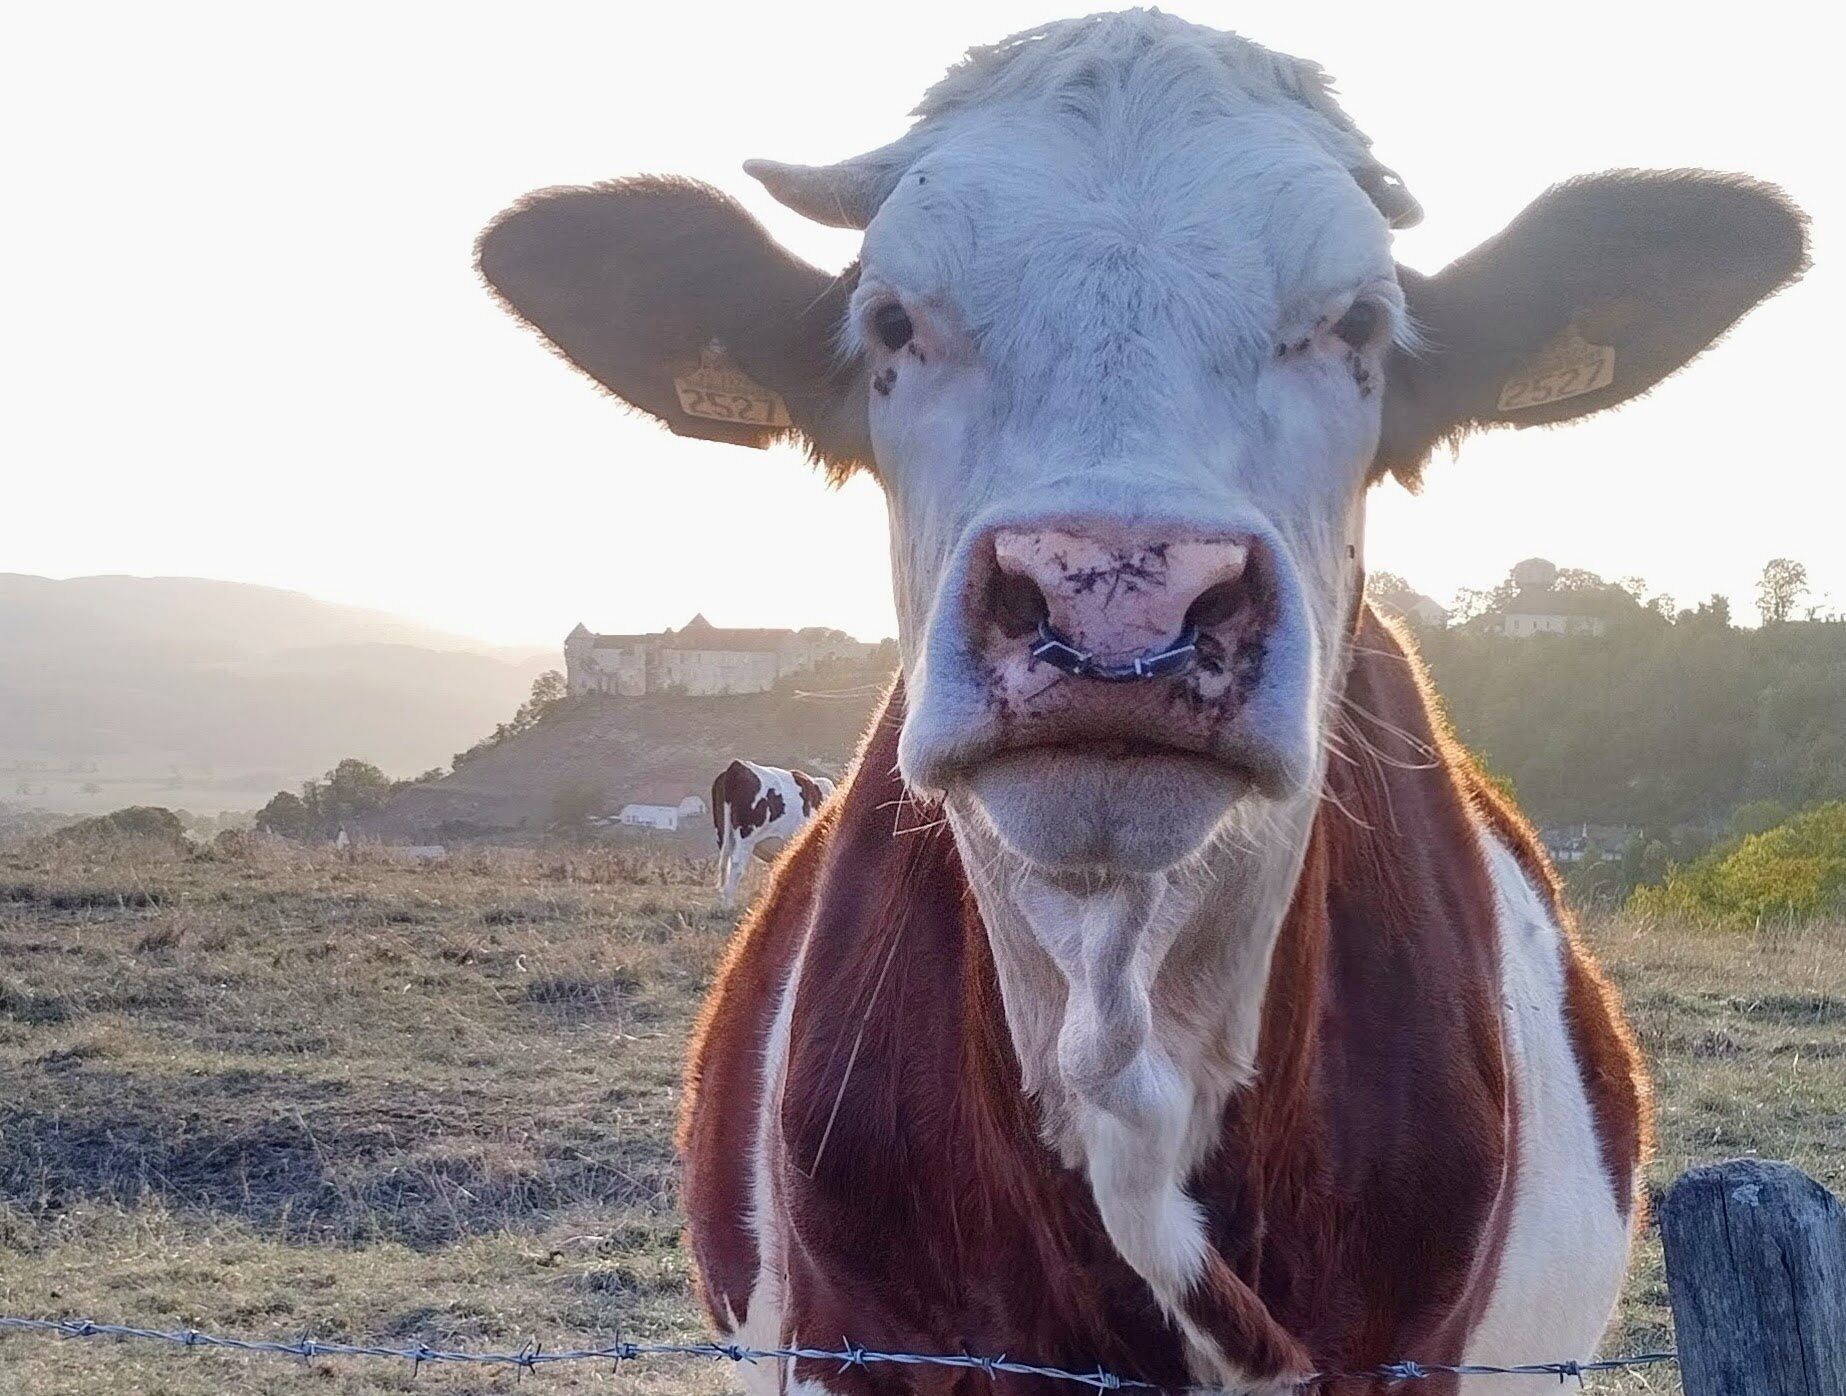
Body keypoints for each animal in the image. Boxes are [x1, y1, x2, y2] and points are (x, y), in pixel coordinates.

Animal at [711, 759, 833, 909]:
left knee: (725, 863)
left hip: (722, 831)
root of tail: (738, 765)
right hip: (746, 835)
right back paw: (728, 906)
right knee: (736, 865)